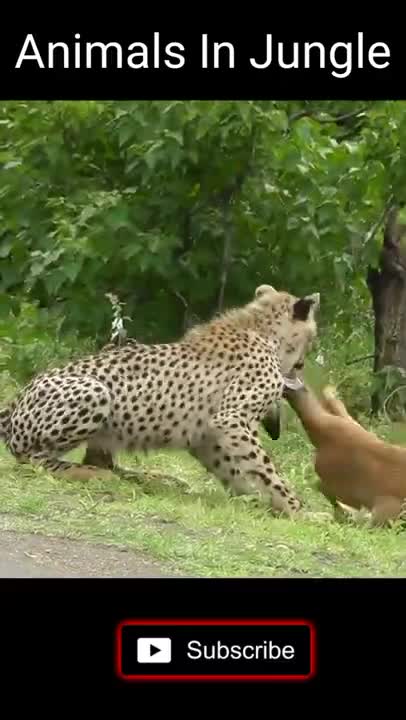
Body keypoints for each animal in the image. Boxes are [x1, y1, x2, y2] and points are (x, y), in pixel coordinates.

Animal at [0, 284, 320, 517]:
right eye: (312, 335)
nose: (303, 366)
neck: (261, 329)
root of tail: (18, 398)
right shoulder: (232, 420)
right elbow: (265, 469)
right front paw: (298, 510)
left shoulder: (208, 433)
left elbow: (234, 467)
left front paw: (260, 502)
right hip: (96, 391)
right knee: (34, 460)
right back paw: (91, 475)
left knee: (104, 462)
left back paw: (151, 478)